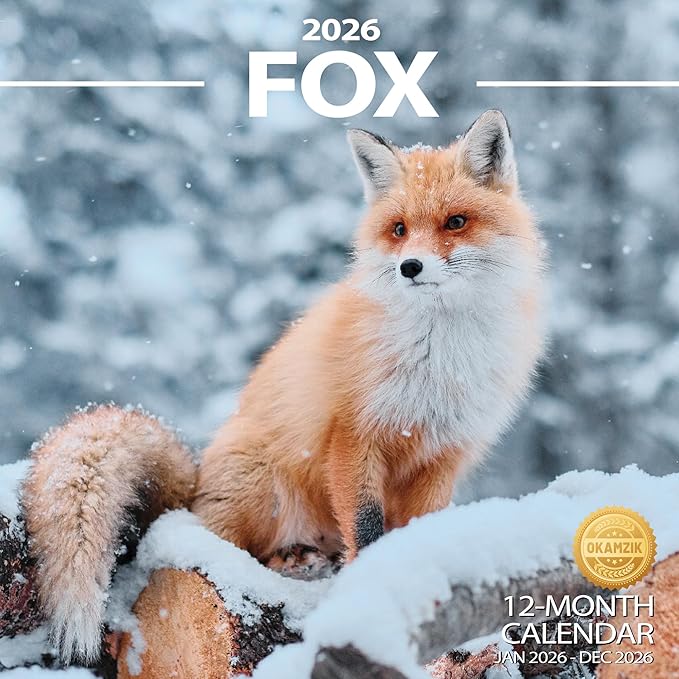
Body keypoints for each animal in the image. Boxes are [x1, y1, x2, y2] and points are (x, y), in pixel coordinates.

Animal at [22, 109, 546, 663]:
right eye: (400, 229)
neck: (440, 356)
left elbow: (416, 532)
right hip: (260, 488)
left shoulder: (444, 452)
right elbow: (366, 528)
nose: (410, 267)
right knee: (203, 549)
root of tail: (193, 488)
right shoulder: (354, 435)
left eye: (456, 222)